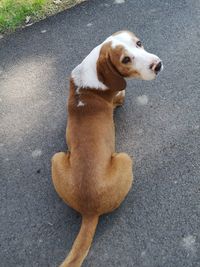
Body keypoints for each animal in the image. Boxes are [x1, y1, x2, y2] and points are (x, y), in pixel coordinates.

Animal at [50, 30, 162, 266]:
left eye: (139, 43)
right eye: (125, 60)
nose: (158, 65)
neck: (91, 74)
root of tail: (89, 211)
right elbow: (121, 96)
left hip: (56, 157)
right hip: (125, 158)